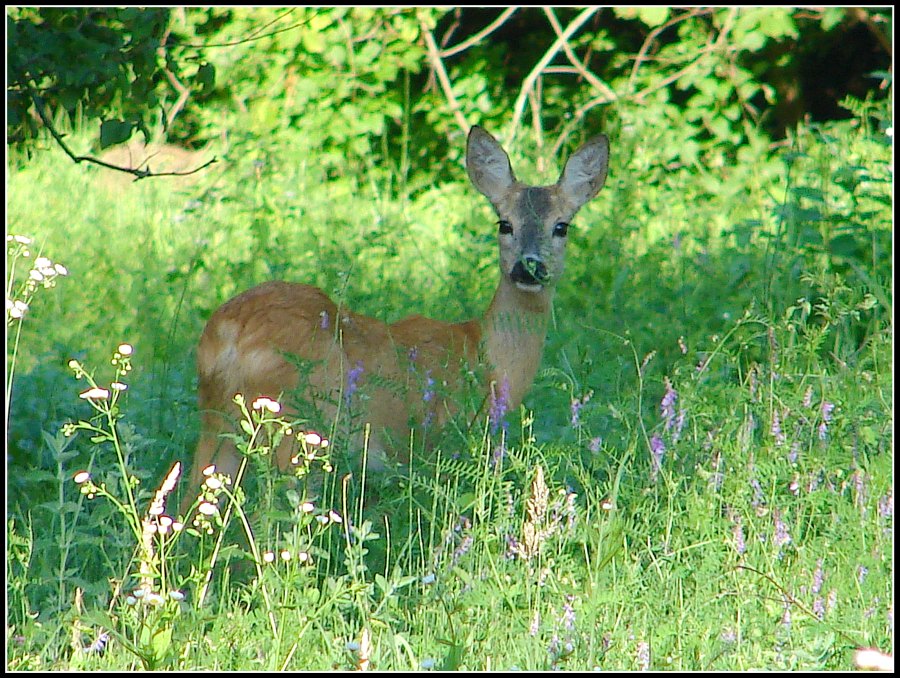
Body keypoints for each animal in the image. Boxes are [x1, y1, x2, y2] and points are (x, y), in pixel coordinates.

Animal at [180, 127, 608, 510]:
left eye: (561, 226)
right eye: (505, 223)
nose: (529, 266)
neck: (488, 358)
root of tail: (230, 333)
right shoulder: (442, 443)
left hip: (216, 422)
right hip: (298, 427)